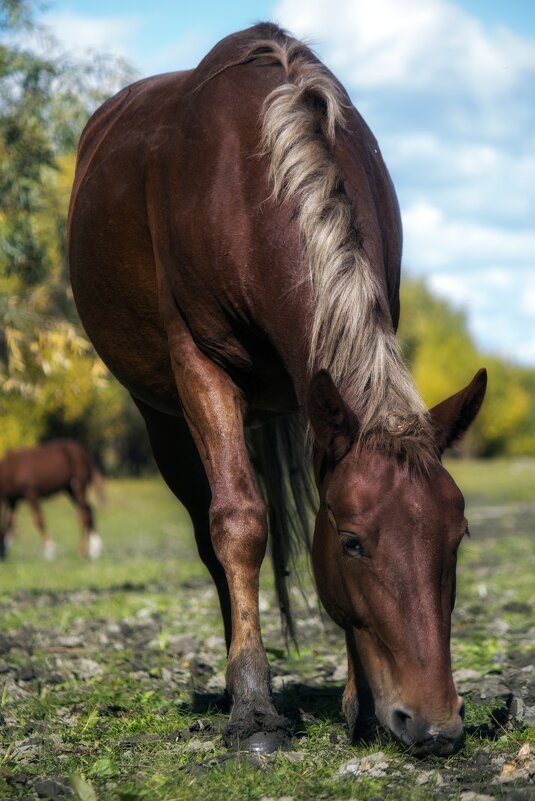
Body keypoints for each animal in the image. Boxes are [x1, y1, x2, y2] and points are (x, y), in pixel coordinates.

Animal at [67, 21, 486, 752]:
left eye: (456, 535)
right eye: (353, 543)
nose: (434, 722)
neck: (246, 180)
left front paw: (357, 702)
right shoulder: (200, 363)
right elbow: (238, 522)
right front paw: (255, 707)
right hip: (162, 418)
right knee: (210, 534)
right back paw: (237, 682)